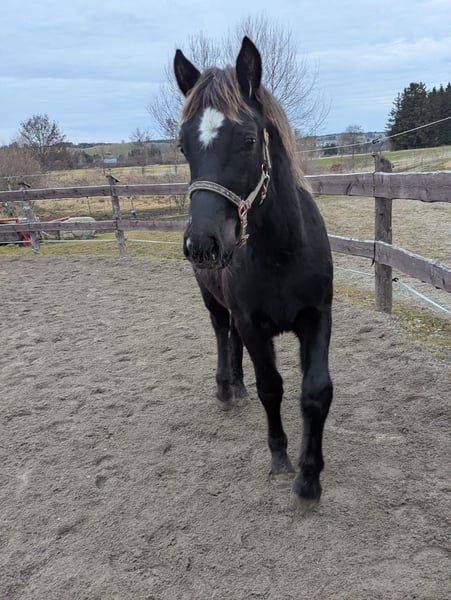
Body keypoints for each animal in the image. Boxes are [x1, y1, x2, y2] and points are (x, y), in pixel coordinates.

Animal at [174, 36, 333, 507]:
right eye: (183, 146)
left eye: (248, 139)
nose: (203, 243)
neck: (281, 252)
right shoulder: (252, 323)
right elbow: (271, 388)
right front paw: (280, 458)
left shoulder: (317, 317)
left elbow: (315, 392)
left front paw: (310, 478)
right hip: (214, 303)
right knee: (221, 334)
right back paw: (227, 388)